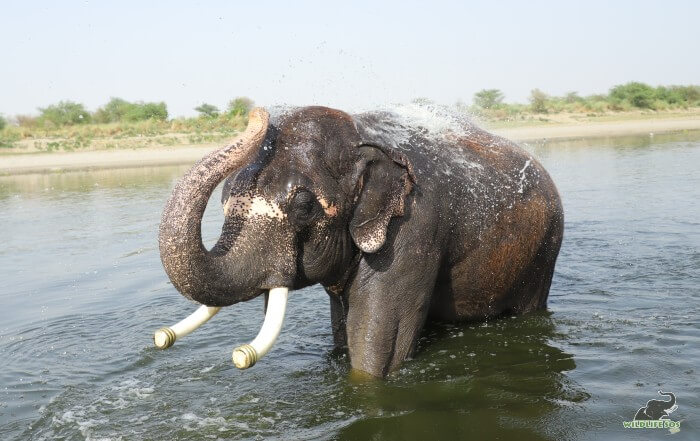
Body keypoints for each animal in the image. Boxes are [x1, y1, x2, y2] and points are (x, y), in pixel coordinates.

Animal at [157, 105, 564, 376]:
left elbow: (377, 342)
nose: (257, 113)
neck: (360, 137)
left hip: (545, 251)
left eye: (303, 206)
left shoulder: (413, 228)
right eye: (224, 200)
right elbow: (344, 328)